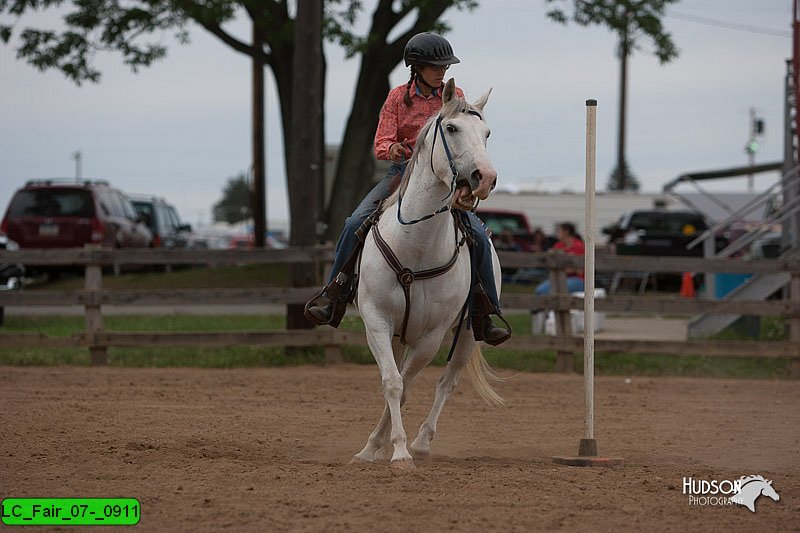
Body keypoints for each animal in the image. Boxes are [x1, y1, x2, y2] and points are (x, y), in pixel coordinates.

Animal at [354, 77, 504, 468]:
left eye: (487, 133)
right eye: (451, 128)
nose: (485, 178)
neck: (415, 247)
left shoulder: (431, 337)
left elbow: (407, 387)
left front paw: (401, 449)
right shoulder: (377, 321)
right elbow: (392, 383)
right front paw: (376, 448)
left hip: (468, 333)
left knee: (446, 384)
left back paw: (421, 441)